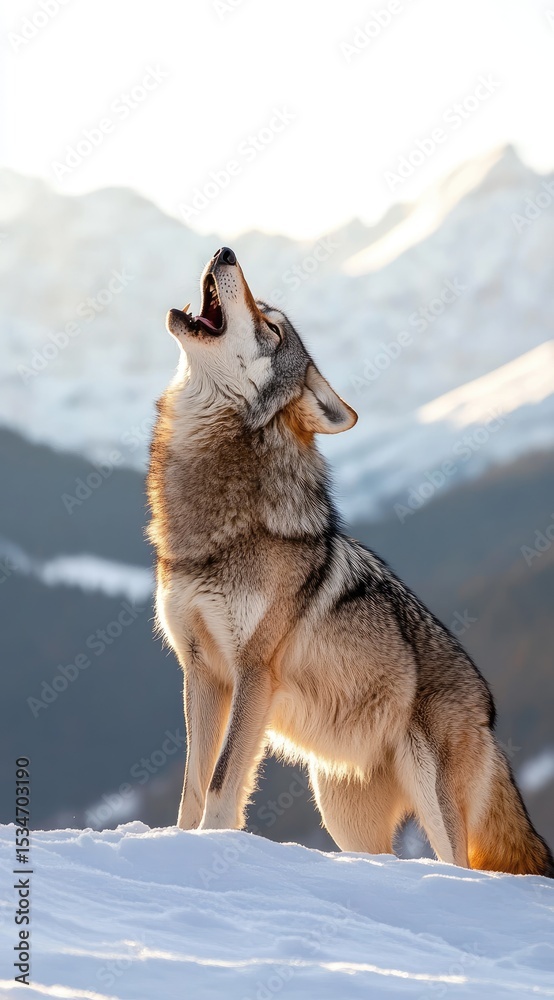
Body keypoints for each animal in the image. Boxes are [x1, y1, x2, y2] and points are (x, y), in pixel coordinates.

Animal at [147, 246, 553, 876]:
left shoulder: (253, 672)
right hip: (341, 813)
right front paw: (180, 844)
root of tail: (488, 709)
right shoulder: (202, 673)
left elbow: (220, 781)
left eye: (272, 328)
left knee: (459, 866)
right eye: (264, 312)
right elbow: (194, 783)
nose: (225, 251)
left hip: (430, 798)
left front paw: (211, 850)